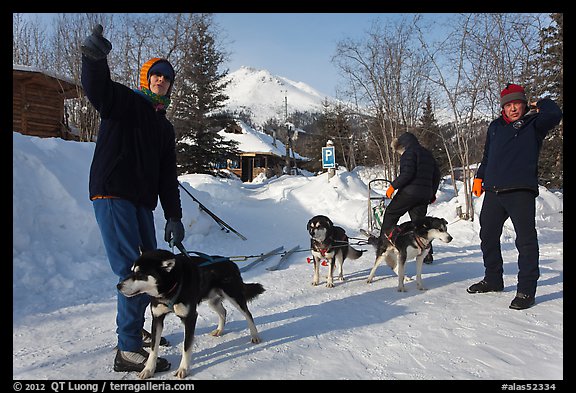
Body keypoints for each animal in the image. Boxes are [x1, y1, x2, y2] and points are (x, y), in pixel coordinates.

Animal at [117, 250, 266, 378]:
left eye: (140, 274)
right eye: (131, 271)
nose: (118, 286)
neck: (174, 285)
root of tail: (230, 261)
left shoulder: (190, 318)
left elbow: (186, 347)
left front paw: (183, 369)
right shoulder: (157, 318)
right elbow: (153, 349)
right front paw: (148, 369)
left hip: (234, 297)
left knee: (248, 314)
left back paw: (255, 335)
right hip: (213, 301)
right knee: (223, 311)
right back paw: (219, 330)